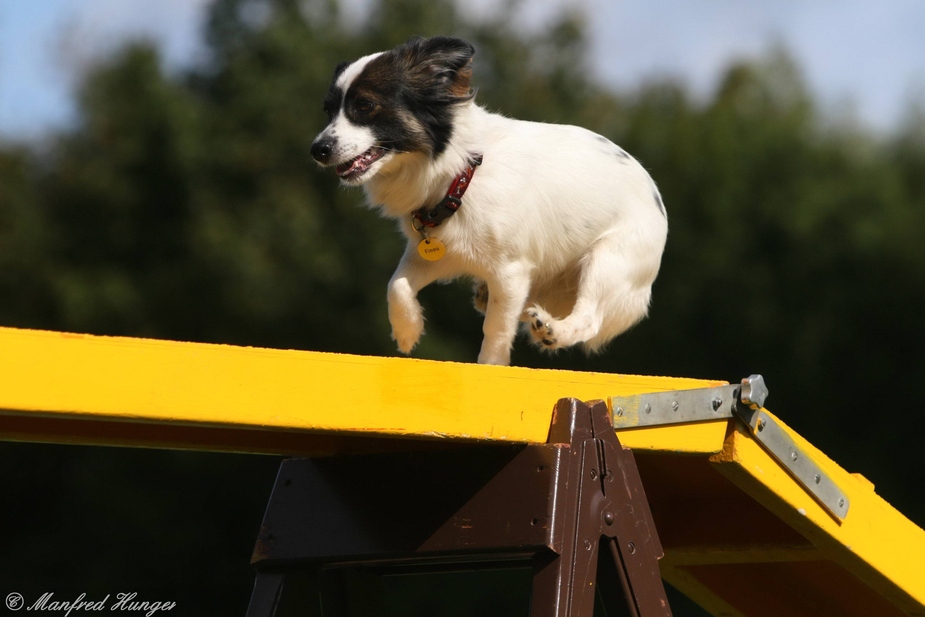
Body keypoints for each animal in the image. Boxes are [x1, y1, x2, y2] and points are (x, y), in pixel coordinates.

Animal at [310, 36, 664, 366]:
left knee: (589, 318)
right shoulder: (437, 253)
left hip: (607, 261)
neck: (460, 175)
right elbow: (396, 285)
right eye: (328, 111)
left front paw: (490, 368)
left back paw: (553, 330)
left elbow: (496, 331)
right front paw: (408, 330)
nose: (318, 149)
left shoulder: (510, 272)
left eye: (365, 105)